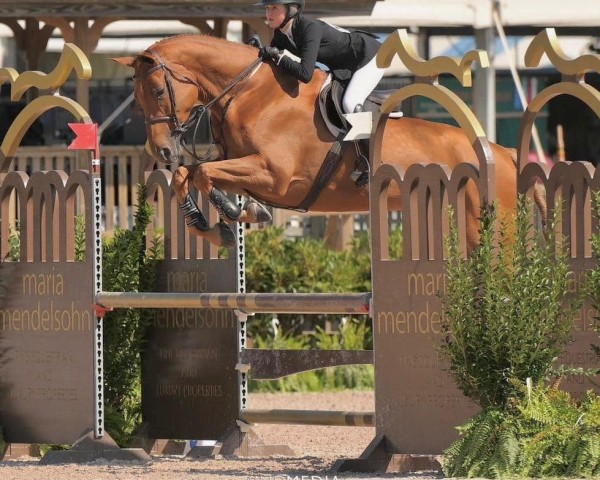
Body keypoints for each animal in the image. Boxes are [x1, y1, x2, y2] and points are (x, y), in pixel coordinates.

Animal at [115, 33, 528, 249]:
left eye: (157, 90)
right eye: (136, 99)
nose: (162, 150)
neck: (248, 93)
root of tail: (501, 153)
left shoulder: (276, 176)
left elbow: (201, 173)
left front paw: (236, 213)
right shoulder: (241, 165)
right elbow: (187, 175)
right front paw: (213, 223)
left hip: (488, 227)